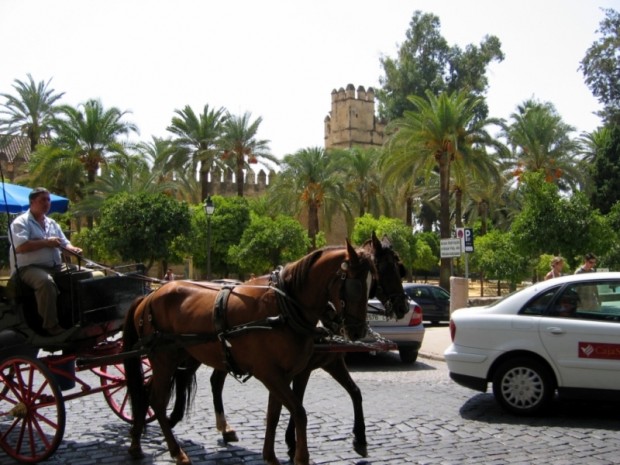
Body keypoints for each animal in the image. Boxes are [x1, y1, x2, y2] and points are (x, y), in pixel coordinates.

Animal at [123, 241, 376, 462]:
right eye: (355, 287)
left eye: (371, 283)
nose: (358, 331)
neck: (283, 308)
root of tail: (149, 296)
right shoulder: (270, 373)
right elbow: (299, 412)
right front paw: (300, 456)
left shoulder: (283, 375)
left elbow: (274, 414)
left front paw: (270, 456)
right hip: (163, 359)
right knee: (157, 400)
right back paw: (176, 451)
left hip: (178, 357)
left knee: (146, 392)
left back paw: (136, 442)